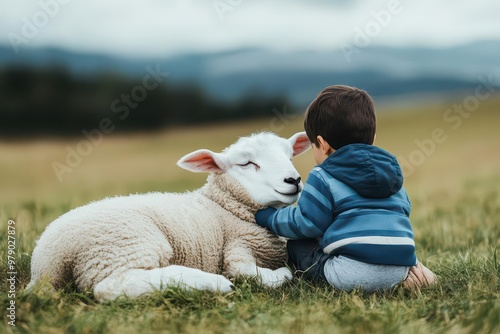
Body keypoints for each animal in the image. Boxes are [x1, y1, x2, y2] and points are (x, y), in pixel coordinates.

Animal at [27, 131, 310, 302]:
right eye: (246, 163)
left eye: (289, 156)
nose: (294, 180)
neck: (222, 206)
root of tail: (47, 261)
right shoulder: (236, 249)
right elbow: (253, 274)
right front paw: (283, 273)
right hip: (123, 248)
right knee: (112, 286)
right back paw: (211, 282)